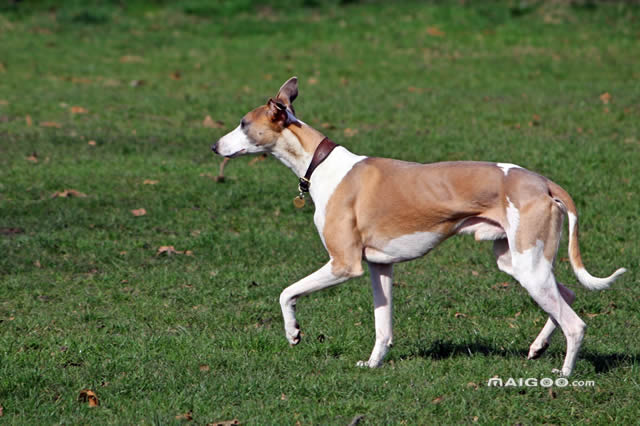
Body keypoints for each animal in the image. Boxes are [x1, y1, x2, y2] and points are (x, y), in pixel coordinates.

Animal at [211, 76, 624, 376]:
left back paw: (564, 374)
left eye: (243, 124)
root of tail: (542, 182)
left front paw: (293, 333)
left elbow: (286, 293)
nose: (214, 146)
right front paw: (372, 364)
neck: (321, 162)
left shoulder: (344, 264)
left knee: (575, 323)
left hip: (529, 266)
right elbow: (382, 326)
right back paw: (538, 347)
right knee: (567, 295)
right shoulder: (379, 267)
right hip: (517, 262)